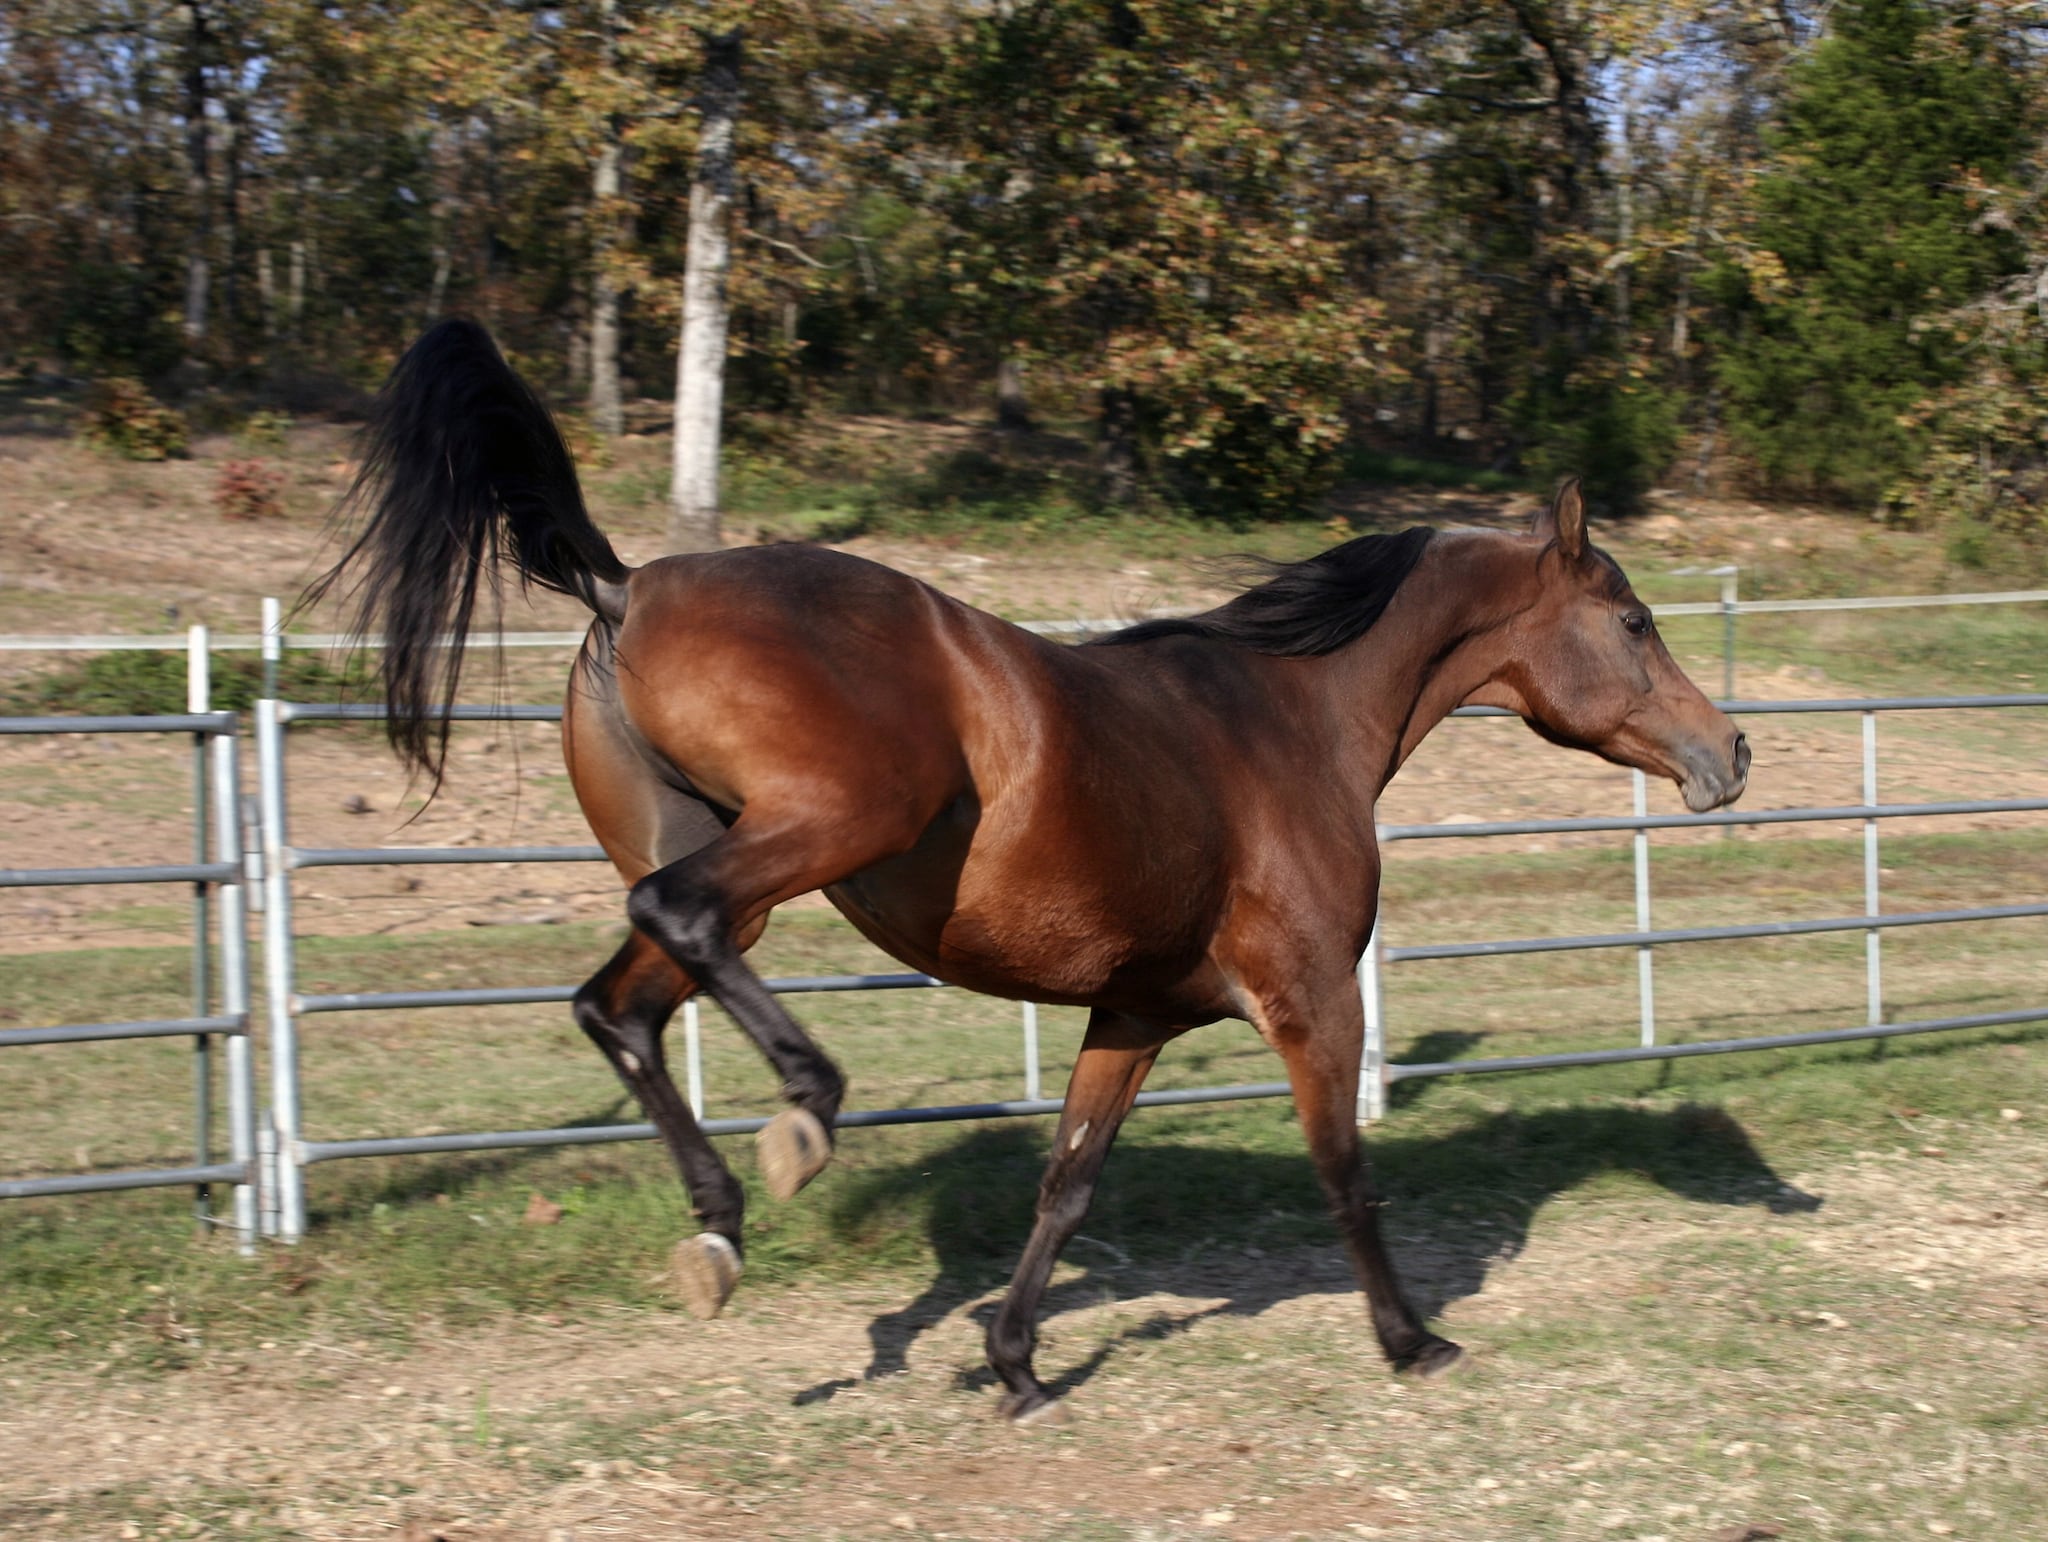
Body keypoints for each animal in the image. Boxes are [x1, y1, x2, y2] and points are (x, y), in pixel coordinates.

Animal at [313, 318, 1750, 1423]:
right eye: (1633, 619)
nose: (1727, 750)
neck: (1289, 719)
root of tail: (624, 589)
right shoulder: (1310, 1001)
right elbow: (1343, 1167)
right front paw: (1412, 1340)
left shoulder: (1135, 1013)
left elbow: (1067, 1183)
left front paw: (1013, 1365)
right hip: (827, 825)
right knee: (675, 926)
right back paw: (800, 1118)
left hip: (732, 860)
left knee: (615, 1001)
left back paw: (718, 1230)